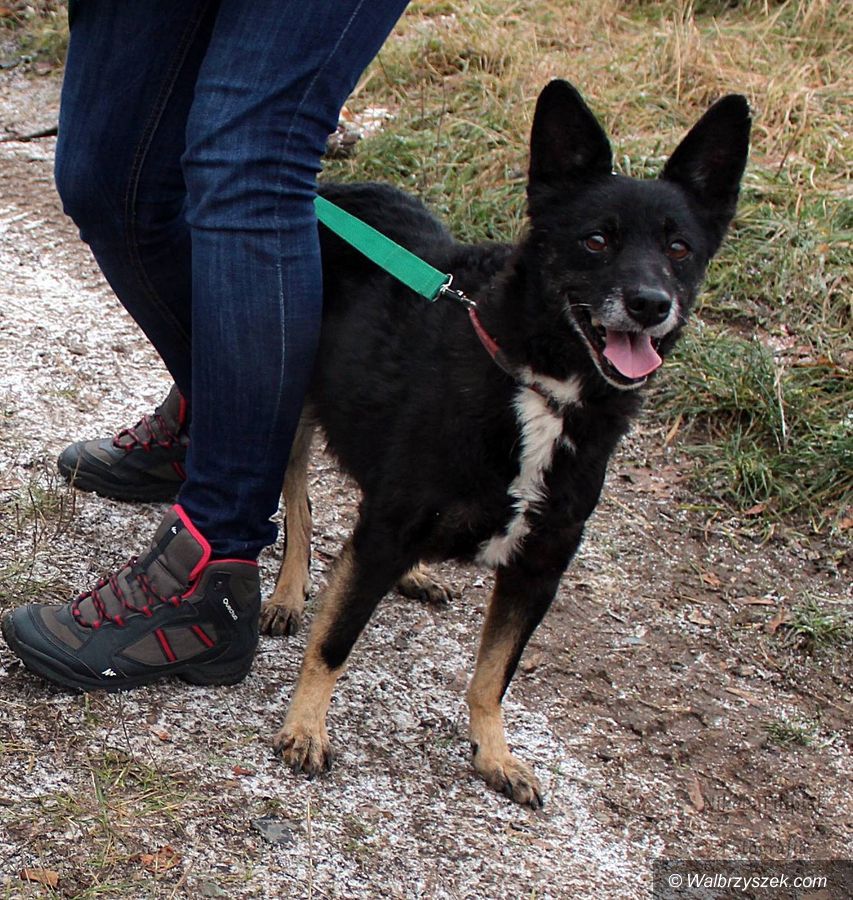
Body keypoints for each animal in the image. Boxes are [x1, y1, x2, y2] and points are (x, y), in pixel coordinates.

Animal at [258, 80, 751, 808]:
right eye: (595, 240)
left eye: (680, 249)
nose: (649, 304)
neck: (544, 390)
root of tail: (330, 189)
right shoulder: (390, 527)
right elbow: (336, 641)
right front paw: (305, 728)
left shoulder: (538, 567)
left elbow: (494, 674)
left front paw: (493, 753)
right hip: (286, 407)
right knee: (297, 502)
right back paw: (290, 594)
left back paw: (414, 575)